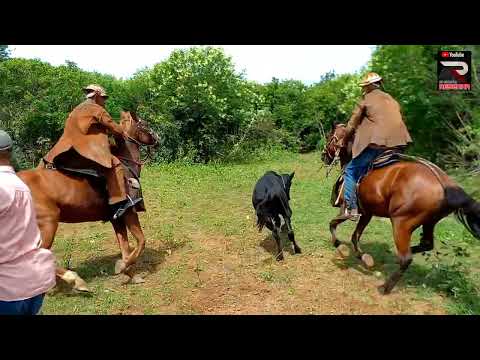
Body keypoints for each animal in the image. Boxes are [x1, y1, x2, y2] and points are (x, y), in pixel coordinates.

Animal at [18, 111, 158, 292]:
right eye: (145, 124)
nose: (157, 138)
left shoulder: (117, 218)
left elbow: (125, 246)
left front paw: (129, 272)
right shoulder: (129, 211)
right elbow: (141, 241)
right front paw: (123, 266)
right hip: (48, 223)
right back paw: (74, 279)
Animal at [320, 123, 480, 292]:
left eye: (330, 137)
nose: (323, 156)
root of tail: (446, 185)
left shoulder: (348, 210)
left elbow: (332, 224)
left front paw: (341, 247)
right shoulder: (367, 213)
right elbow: (355, 236)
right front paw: (364, 257)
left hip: (401, 223)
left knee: (406, 258)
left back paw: (385, 287)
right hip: (429, 222)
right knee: (425, 244)